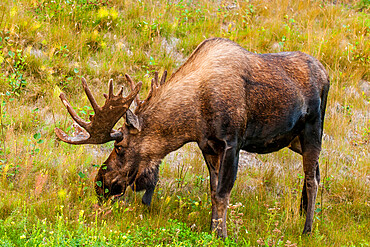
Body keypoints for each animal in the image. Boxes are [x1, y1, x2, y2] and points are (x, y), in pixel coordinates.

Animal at [55, 37, 330, 238]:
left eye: (119, 145)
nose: (100, 183)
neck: (193, 117)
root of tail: (327, 75)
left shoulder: (232, 142)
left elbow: (223, 193)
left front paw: (222, 235)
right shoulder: (207, 146)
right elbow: (212, 191)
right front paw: (212, 230)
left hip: (313, 130)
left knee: (312, 179)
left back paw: (307, 229)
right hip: (293, 140)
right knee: (316, 171)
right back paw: (303, 214)